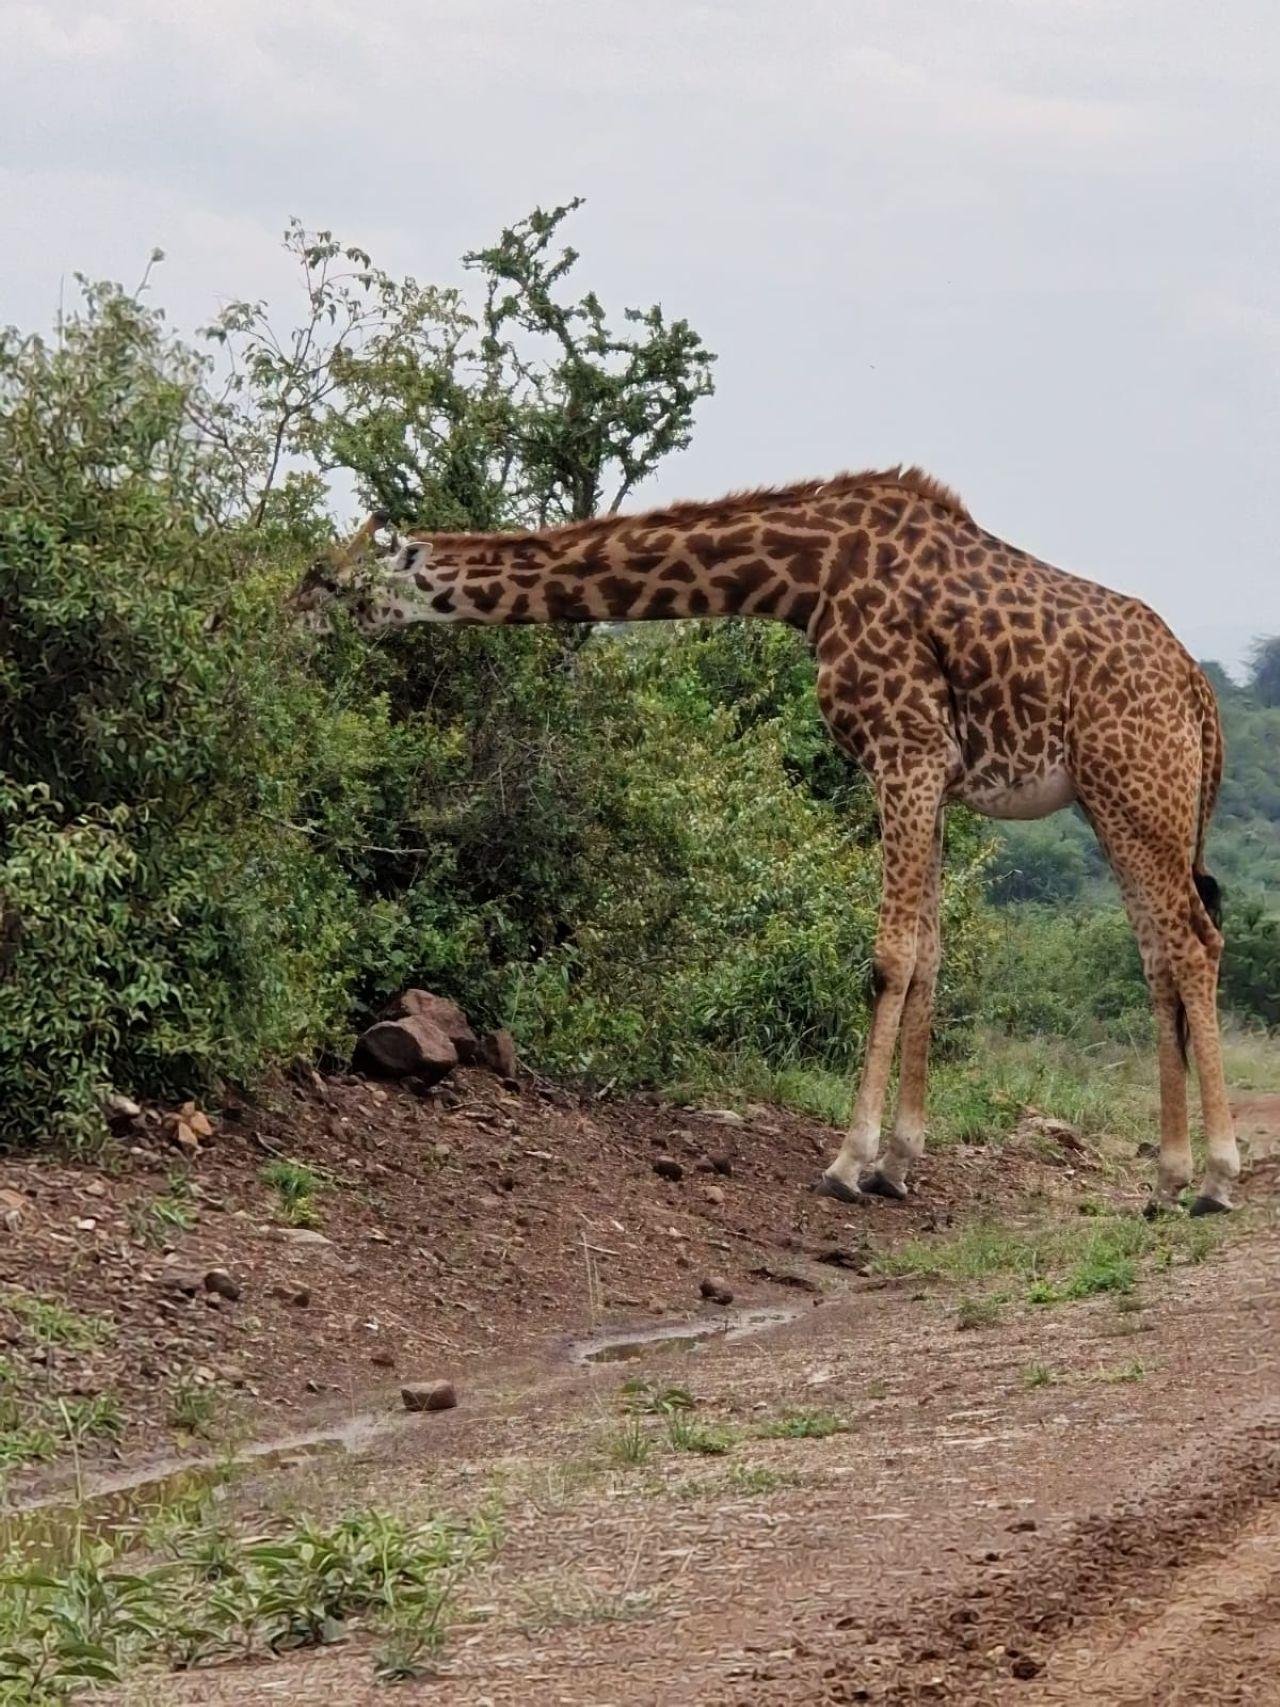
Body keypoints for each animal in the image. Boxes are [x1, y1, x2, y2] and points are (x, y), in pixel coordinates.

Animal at [294, 467, 1237, 1215]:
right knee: (1161, 954)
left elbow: (890, 955)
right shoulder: (930, 770)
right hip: (1123, 801)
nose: (281, 621)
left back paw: (1217, 1178)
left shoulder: (904, 748)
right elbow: (930, 954)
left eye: (328, 581)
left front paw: (847, 1162)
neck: (809, 576)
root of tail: (1201, 696)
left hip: (1133, 792)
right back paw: (1165, 1180)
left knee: (1193, 942)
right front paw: (899, 1163)